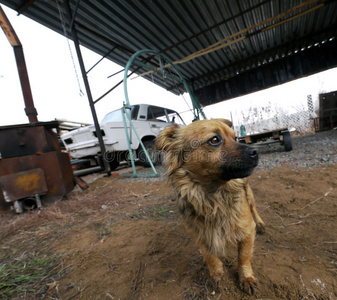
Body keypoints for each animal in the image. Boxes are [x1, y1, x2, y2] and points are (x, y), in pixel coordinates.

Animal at [156, 118, 266, 294]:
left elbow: (244, 256)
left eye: (235, 138)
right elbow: (210, 257)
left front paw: (246, 278)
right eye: (214, 140)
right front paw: (216, 275)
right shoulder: (200, 235)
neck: (213, 197)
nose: (256, 151)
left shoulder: (247, 230)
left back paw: (261, 224)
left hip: (248, 193)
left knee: (253, 208)